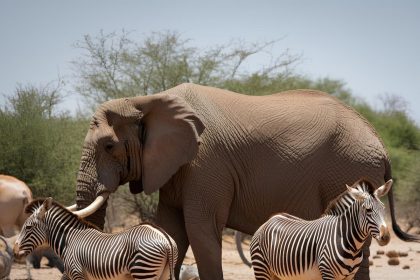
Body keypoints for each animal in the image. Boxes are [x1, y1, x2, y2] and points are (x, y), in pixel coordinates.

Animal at [13, 197, 177, 280]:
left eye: (28, 227)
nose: (14, 251)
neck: (69, 241)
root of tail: (164, 238)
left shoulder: (77, 273)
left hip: (143, 270)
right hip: (164, 273)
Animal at [251, 179, 392, 280]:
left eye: (383, 208)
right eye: (368, 210)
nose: (386, 237)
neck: (352, 245)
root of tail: (270, 220)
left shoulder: (349, 277)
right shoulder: (327, 273)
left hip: (278, 275)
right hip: (261, 268)